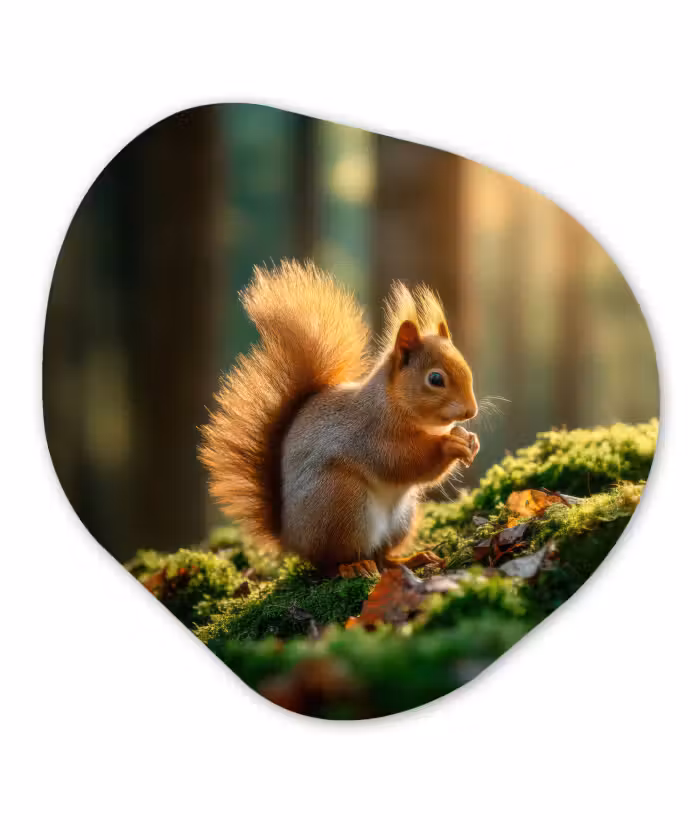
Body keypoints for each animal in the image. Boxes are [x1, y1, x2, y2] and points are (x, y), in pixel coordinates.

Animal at [199, 260, 479, 579]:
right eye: (435, 379)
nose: (471, 411)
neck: (394, 404)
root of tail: (290, 539)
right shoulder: (371, 434)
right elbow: (404, 461)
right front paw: (450, 445)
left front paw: (469, 440)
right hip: (342, 504)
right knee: (332, 562)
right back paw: (354, 566)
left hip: (401, 519)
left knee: (382, 556)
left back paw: (410, 559)